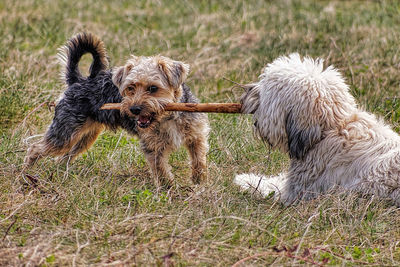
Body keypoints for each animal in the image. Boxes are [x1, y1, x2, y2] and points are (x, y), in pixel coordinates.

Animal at [234, 52, 400, 207]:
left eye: (265, 88)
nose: (247, 90)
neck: (330, 130)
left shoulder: (297, 192)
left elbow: (269, 186)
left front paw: (245, 180)